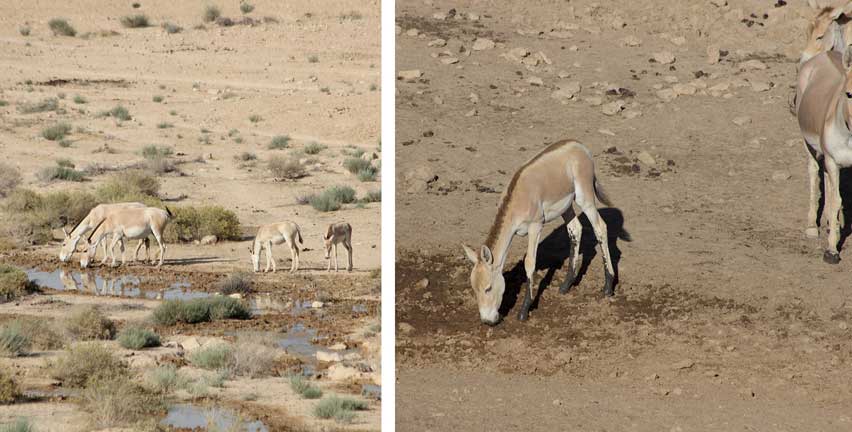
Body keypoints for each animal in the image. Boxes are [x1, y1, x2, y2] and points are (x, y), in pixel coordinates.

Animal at [466, 140, 612, 326]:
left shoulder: (536, 226)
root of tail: (579, 146)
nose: (487, 321)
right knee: (575, 229)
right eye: (474, 288)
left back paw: (608, 287)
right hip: (566, 207)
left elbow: (529, 262)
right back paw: (566, 286)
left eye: (488, 288)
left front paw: (524, 311)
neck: (518, 198)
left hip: (584, 199)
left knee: (600, 228)